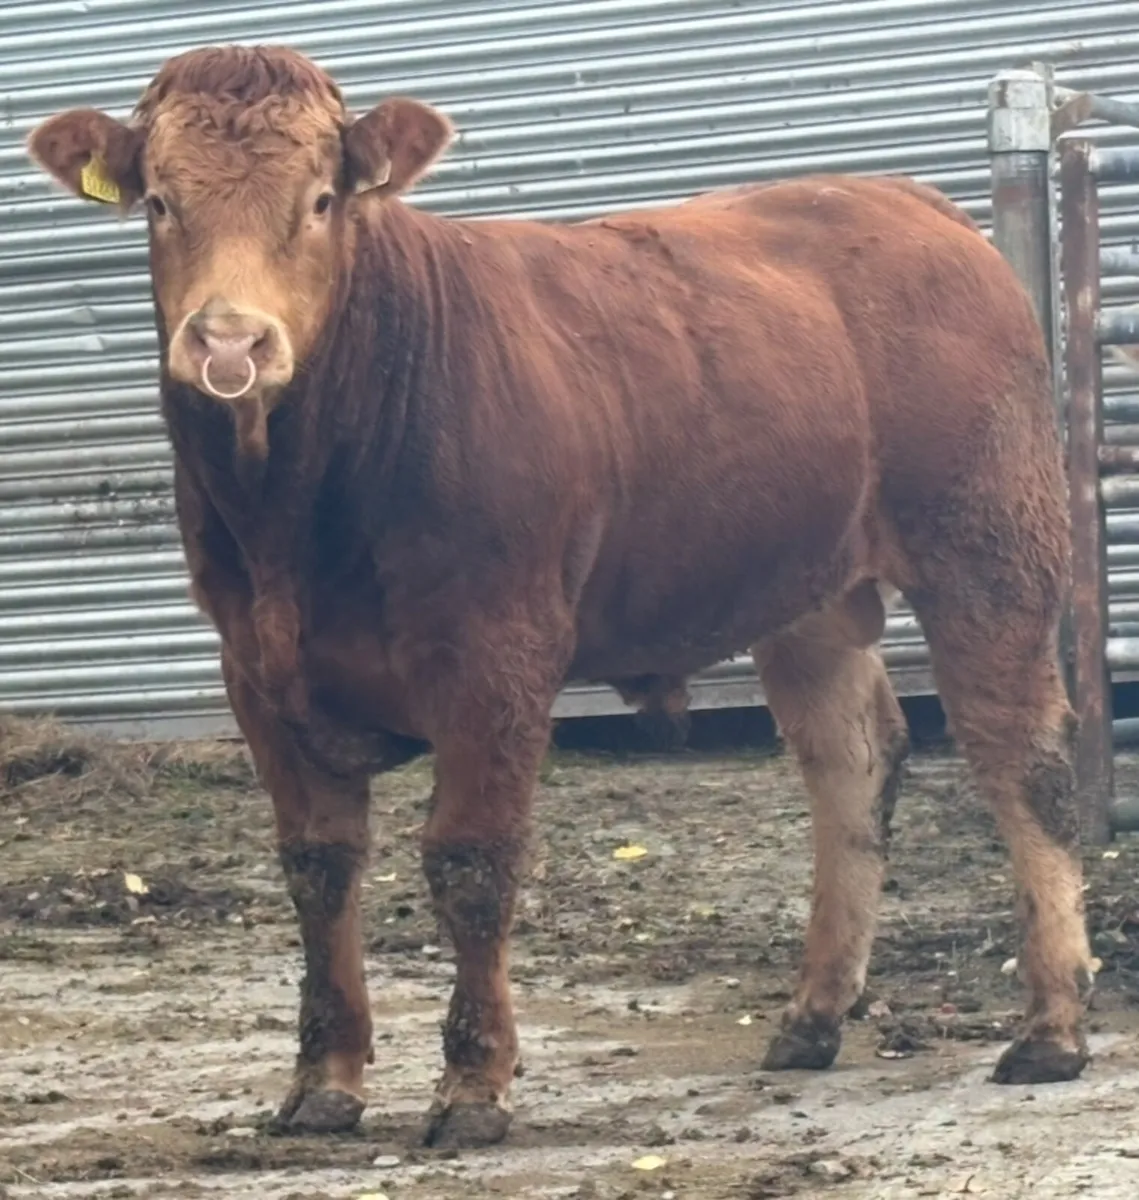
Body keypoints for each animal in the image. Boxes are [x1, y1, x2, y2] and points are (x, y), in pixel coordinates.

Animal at [28, 44, 1095, 1149]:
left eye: (321, 199)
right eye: (159, 202)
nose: (230, 344)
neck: (294, 522)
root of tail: (898, 198)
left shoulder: (495, 653)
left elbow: (470, 860)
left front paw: (472, 1085)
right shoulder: (254, 669)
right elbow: (317, 867)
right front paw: (322, 1080)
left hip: (987, 544)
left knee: (1023, 757)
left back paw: (1050, 1027)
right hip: (806, 592)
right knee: (851, 764)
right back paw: (810, 1017)